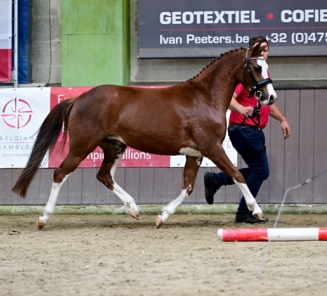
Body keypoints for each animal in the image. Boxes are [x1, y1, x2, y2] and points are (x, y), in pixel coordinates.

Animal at [11, 43, 276, 229]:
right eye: (256, 67)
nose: (270, 97)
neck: (204, 98)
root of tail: (77, 98)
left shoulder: (195, 154)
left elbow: (188, 188)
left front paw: (162, 217)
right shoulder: (212, 148)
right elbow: (236, 175)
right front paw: (257, 211)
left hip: (114, 147)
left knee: (104, 175)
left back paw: (134, 208)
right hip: (81, 146)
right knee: (60, 173)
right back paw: (43, 218)